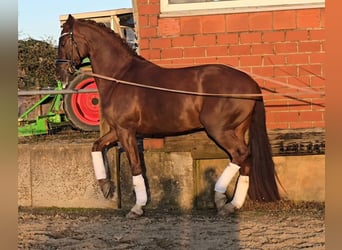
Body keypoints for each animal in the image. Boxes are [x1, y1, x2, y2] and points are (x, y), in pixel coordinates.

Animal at [56, 15, 280, 219]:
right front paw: (105, 185)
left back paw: (221, 199)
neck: (120, 77)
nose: (60, 73)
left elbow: (136, 166)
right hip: (237, 129)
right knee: (244, 159)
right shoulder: (117, 131)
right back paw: (232, 204)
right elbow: (96, 146)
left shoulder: (126, 131)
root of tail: (251, 83)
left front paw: (137, 207)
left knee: (241, 154)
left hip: (219, 129)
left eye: (63, 41)